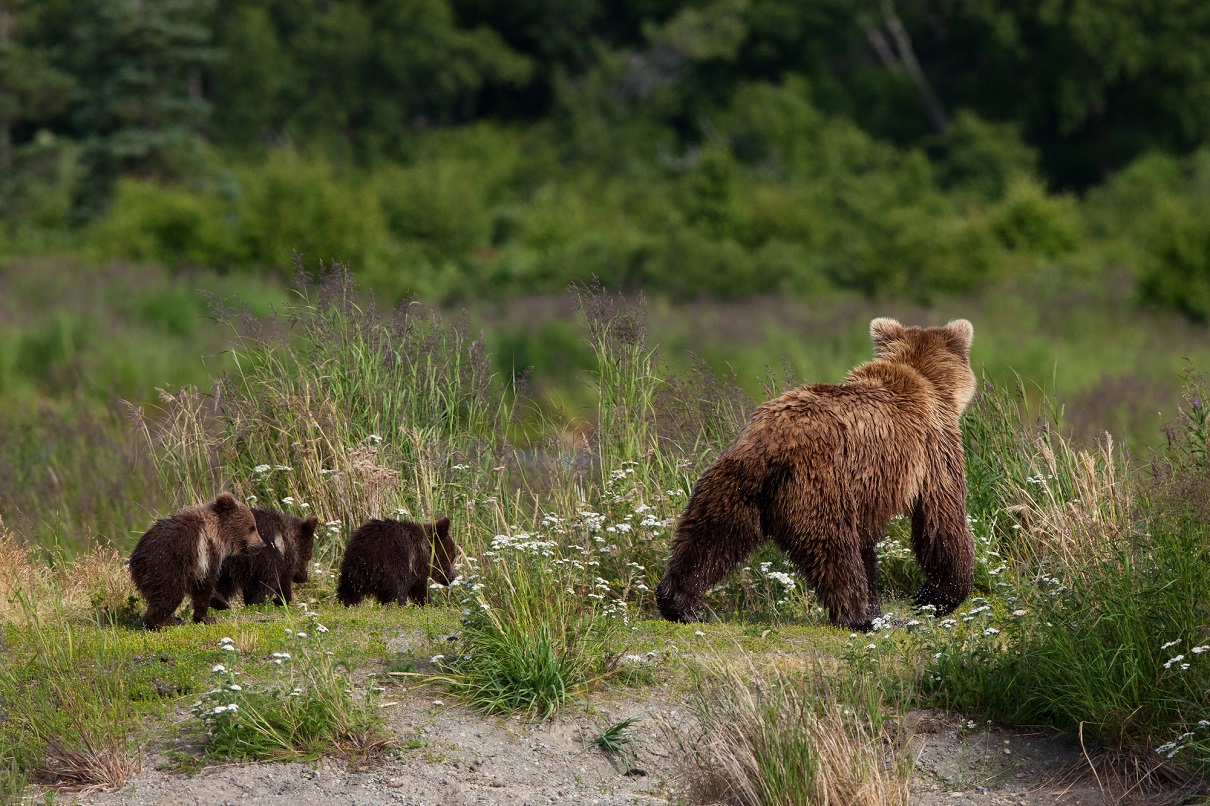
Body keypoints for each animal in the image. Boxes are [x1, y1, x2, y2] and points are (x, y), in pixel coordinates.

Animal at [128, 488, 266, 629]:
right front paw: (206, 617)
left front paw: (221, 603)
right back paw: (165, 622)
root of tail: (137, 556)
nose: (262, 544)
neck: (219, 534)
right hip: (165, 566)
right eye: (252, 527)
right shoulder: (205, 553)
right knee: (169, 595)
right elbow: (204, 585)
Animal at [658, 314, 977, 629]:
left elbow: (867, 545)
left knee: (708, 538)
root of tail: (774, 442)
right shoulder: (934, 448)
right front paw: (936, 597)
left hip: (733, 482)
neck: (923, 378)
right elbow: (941, 518)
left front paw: (885, 605)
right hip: (818, 484)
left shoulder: (866, 489)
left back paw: (679, 604)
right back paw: (856, 616)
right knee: (834, 549)